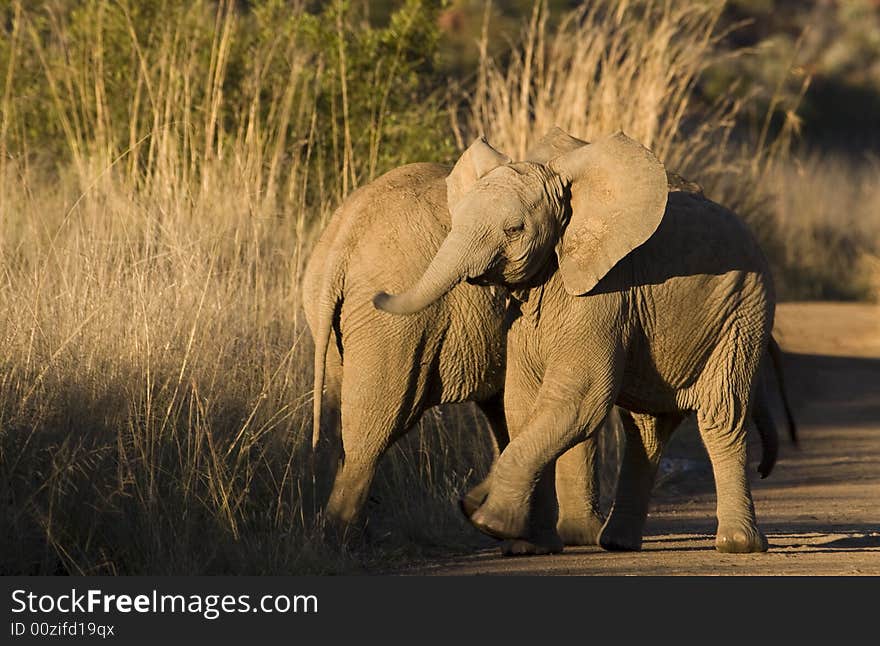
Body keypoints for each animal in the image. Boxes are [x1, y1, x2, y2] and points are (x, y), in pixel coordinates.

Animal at [302, 156, 604, 548]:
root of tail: (341, 241)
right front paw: (583, 536)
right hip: (394, 327)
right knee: (375, 427)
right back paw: (341, 542)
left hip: (336, 321)